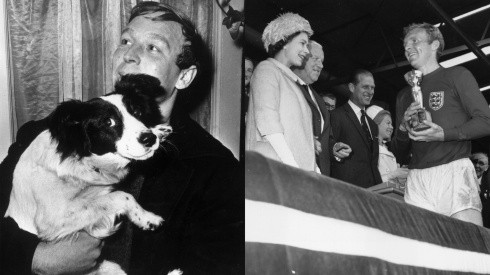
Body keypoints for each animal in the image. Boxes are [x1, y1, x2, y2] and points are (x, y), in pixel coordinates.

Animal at [4, 74, 176, 274]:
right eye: (109, 122)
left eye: (138, 112)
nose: (149, 139)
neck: (81, 159)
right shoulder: (54, 218)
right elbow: (122, 196)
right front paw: (149, 218)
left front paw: (160, 130)